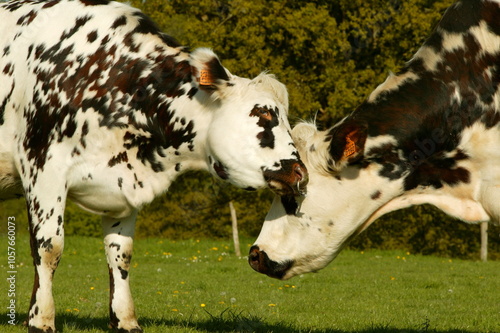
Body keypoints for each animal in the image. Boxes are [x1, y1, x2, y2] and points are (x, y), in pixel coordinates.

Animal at [0, 1, 306, 330]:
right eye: (264, 114)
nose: (301, 172)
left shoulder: (123, 184)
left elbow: (120, 254)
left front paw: (124, 319)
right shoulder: (43, 168)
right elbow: (49, 247)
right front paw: (40, 319)